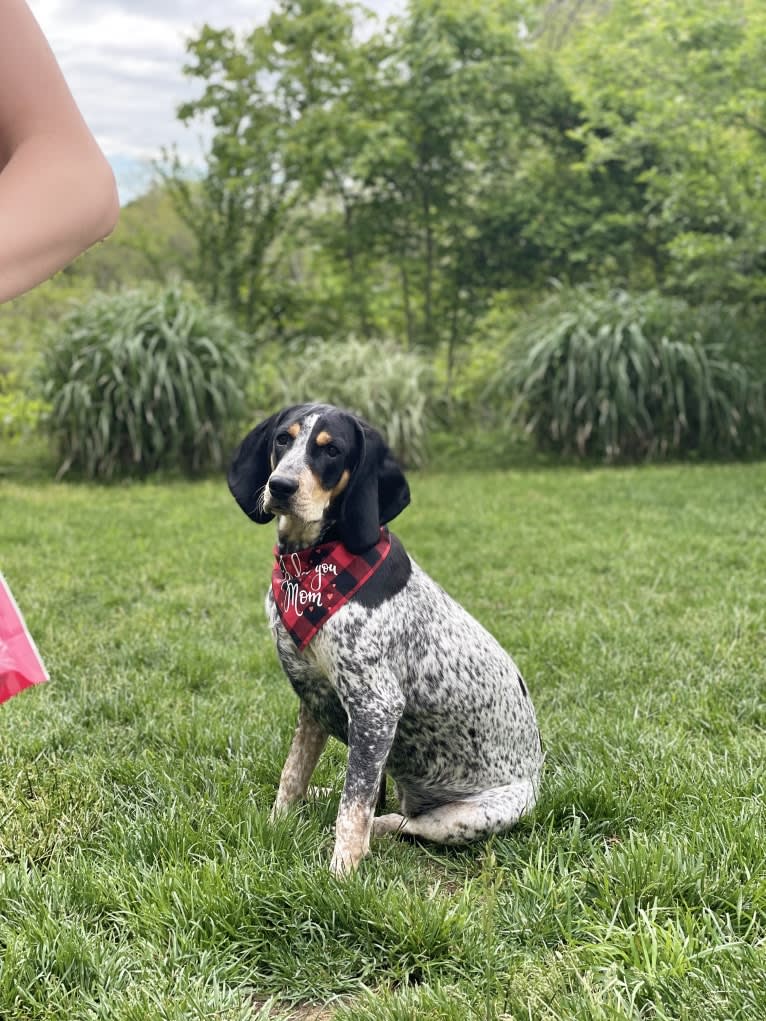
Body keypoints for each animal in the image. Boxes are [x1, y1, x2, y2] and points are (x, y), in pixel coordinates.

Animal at [229, 402, 547, 873]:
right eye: (283, 439)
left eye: (332, 451)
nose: (280, 485)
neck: (309, 566)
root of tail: (538, 783)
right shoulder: (314, 698)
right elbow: (293, 776)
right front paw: (277, 823)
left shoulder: (375, 707)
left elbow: (354, 806)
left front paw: (342, 872)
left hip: (466, 817)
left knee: (401, 823)